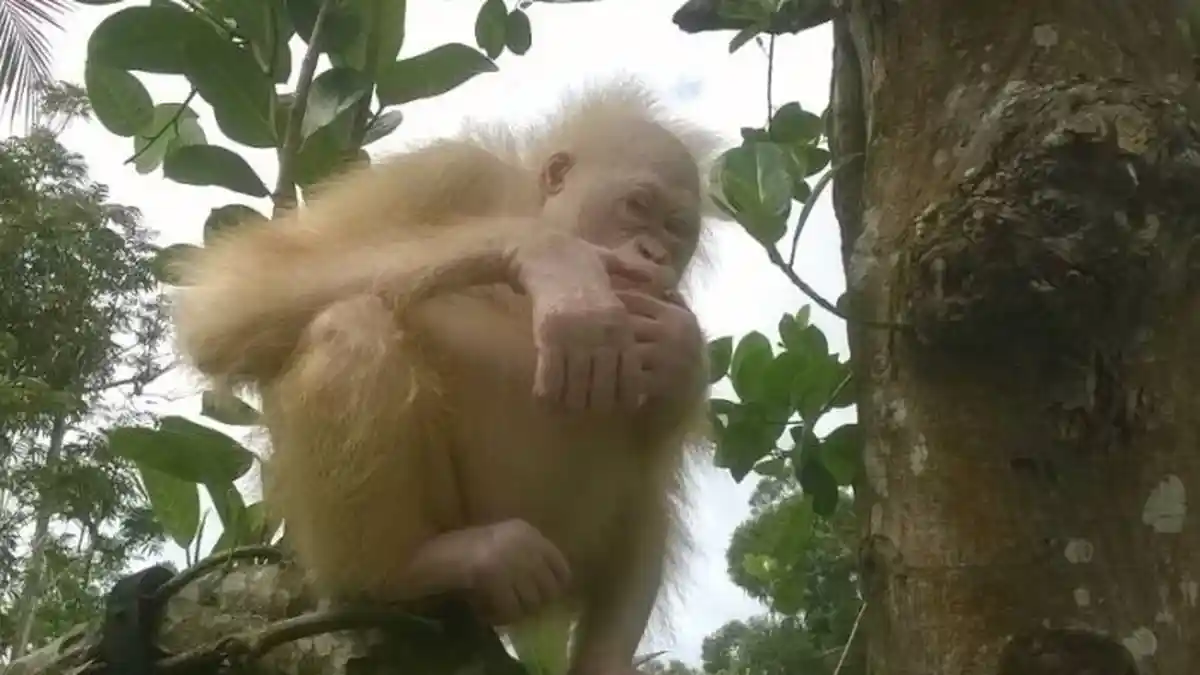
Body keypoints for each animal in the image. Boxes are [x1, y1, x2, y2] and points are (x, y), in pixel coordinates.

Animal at [171, 78, 722, 675]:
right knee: (351, 322)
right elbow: (235, 296)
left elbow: (659, 436)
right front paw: (549, 257)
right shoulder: (449, 172)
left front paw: (682, 352)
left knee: (646, 489)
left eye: (676, 230)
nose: (653, 252)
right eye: (637, 206)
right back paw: (411, 568)